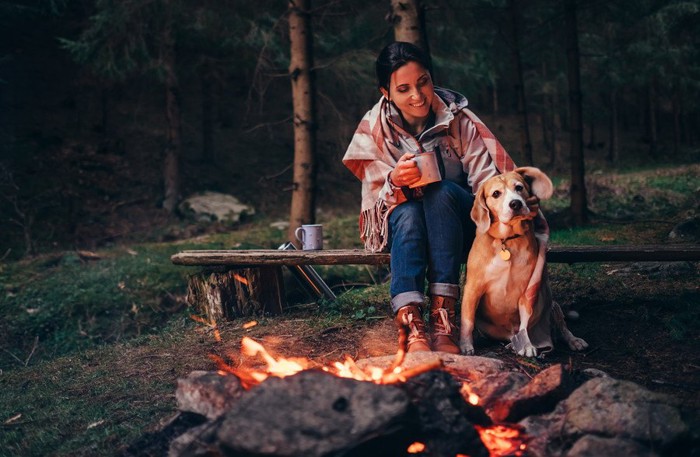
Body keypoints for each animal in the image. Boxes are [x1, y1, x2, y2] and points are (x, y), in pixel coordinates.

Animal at [456, 167, 588, 356]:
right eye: (496, 194)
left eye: (519, 187)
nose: (515, 204)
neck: (507, 240)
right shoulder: (473, 288)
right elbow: (467, 321)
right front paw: (466, 346)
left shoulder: (527, 290)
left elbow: (525, 322)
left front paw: (526, 345)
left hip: (551, 302)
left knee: (562, 327)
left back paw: (573, 340)